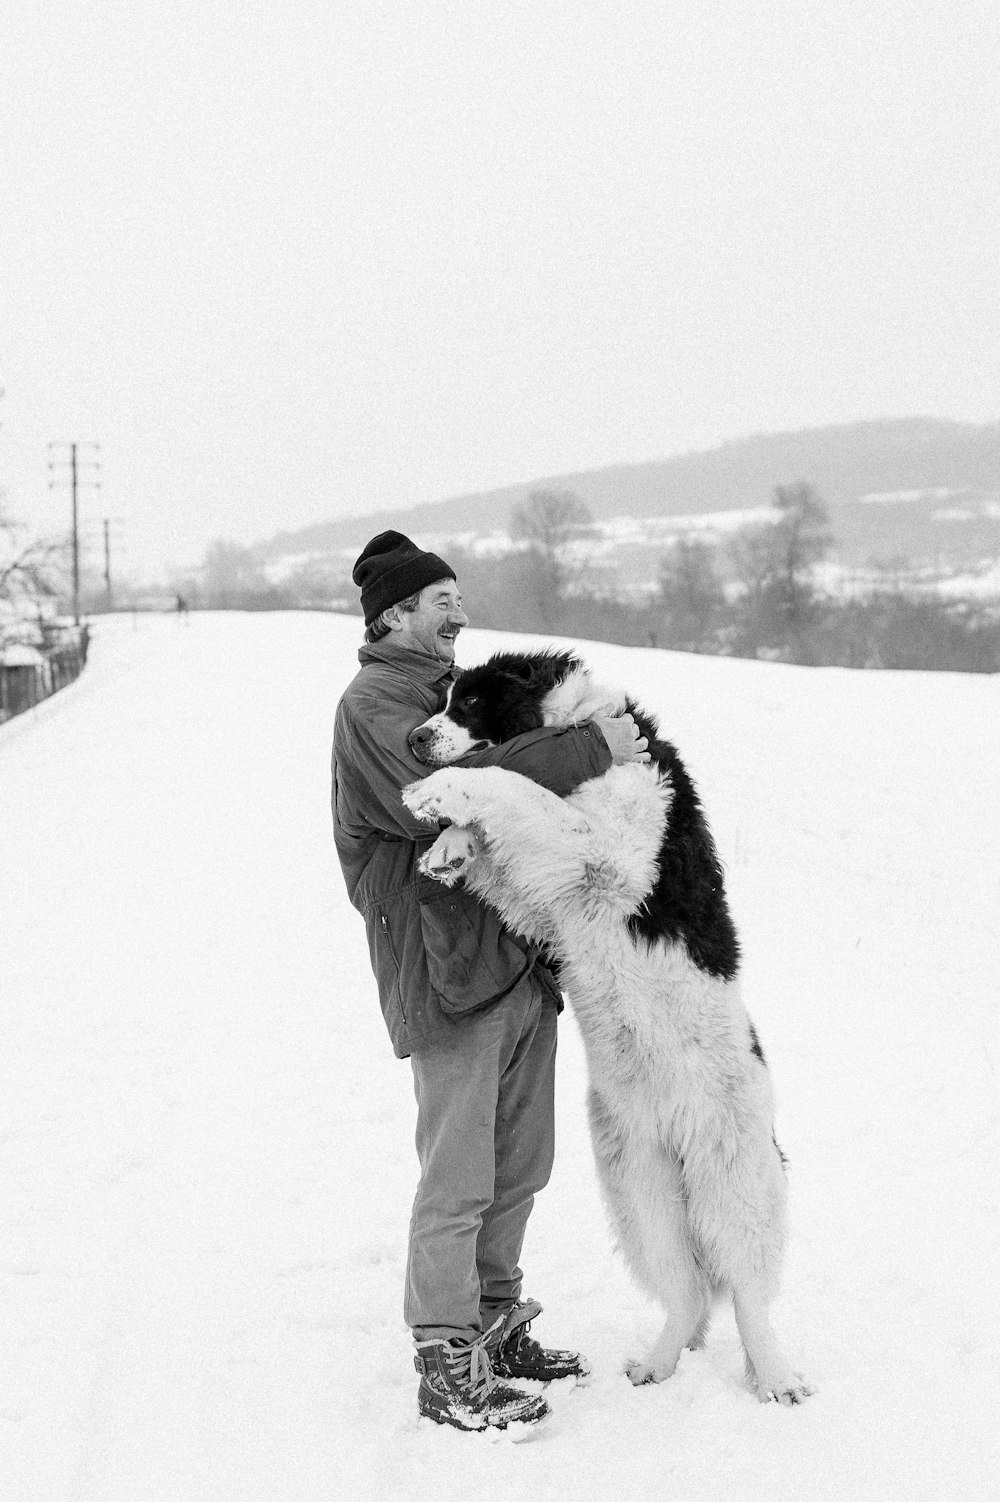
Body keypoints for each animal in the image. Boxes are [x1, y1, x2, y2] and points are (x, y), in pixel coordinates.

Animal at [399, 651, 810, 1399]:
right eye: (444, 697)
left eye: (468, 700)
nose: (415, 740)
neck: (578, 721)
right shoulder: (546, 892)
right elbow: (509, 812)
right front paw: (449, 846)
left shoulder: (601, 854)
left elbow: (511, 783)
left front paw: (436, 795)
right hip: (637, 1186)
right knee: (687, 1290)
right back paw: (656, 1365)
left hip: (733, 1177)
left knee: (745, 1293)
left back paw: (776, 1380)